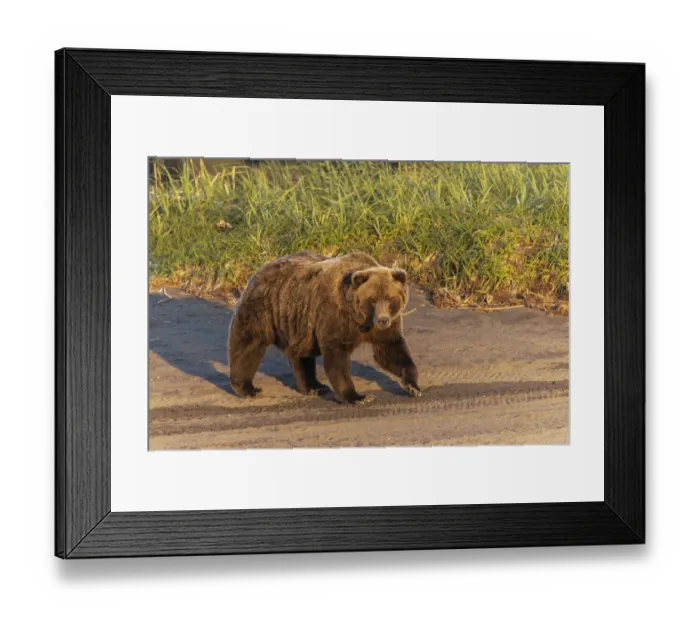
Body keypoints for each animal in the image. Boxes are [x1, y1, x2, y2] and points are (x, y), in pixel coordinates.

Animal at [227, 251, 420, 405]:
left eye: (390, 298)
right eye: (372, 299)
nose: (382, 320)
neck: (360, 319)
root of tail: (260, 269)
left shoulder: (386, 326)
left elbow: (392, 349)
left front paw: (413, 386)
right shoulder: (335, 316)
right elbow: (337, 357)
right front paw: (357, 397)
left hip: (299, 321)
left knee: (301, 354)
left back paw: (314, 386)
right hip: (264, 308)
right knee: (249, 344)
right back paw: (247, 387)